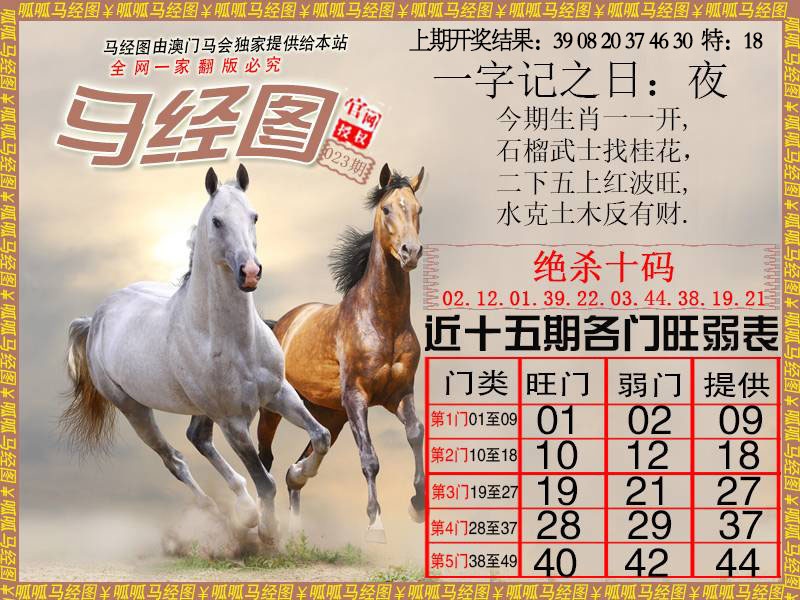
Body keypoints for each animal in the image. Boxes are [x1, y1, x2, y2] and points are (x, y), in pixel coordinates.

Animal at [63, 165, 331, 543]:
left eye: (254, 216)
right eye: (217, 221)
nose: (250, 272)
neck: (235, 341)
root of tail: (96, 317)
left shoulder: (278, 393)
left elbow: (320, 437)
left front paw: (298, 474)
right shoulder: (233, 422)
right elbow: (265, 480)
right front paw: (268, 531)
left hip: (200, 409)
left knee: (197, 438)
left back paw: (243, 509)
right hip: (134, 409)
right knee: (174, 459)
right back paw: (225, 515)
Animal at [256, 163, 425, 543]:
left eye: (418, 209)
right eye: (386, 209)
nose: (410, 252)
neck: (382, 321)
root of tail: (280, 324)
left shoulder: (399, 395)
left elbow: (415, 434)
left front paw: (417, 505)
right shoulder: (357, 397)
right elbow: (370, 458)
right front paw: (376, 524)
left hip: (329, 414)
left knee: (298, 466)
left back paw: (297, 510)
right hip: (275, 409)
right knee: (265, 458)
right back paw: (264, 524)